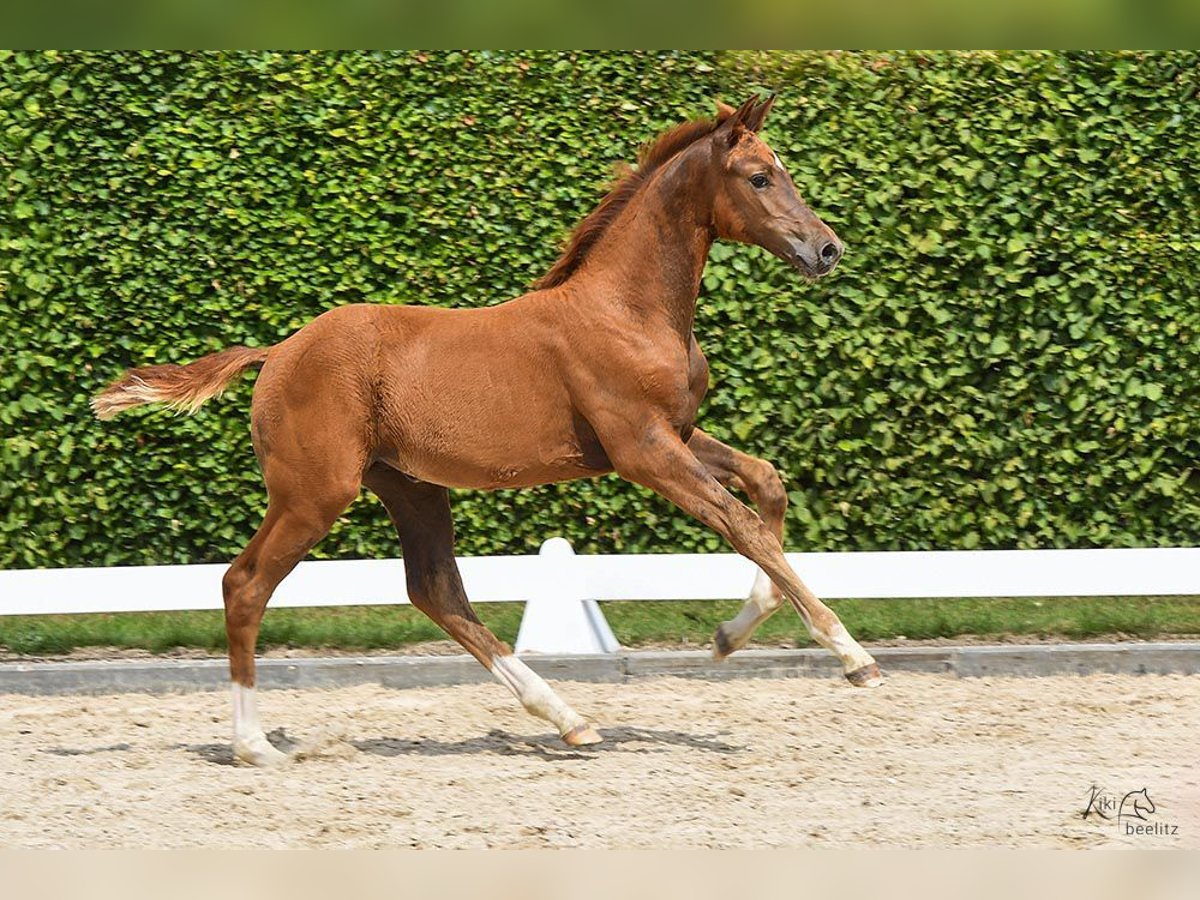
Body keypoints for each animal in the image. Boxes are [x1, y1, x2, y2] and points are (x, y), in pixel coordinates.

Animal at [93, 93, 883, 768]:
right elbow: (741, 524)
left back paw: (569, 719)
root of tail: (279, 351)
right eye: (759, 176)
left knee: (436, 591)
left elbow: (766, 487)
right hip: (313, 494)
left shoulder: (677, 437)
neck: (627, 310)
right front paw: (853, 657)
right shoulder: (642, 451)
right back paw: (254, 745)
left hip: (409, 487)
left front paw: (726, 637)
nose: (827, 250)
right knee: (246, 584)